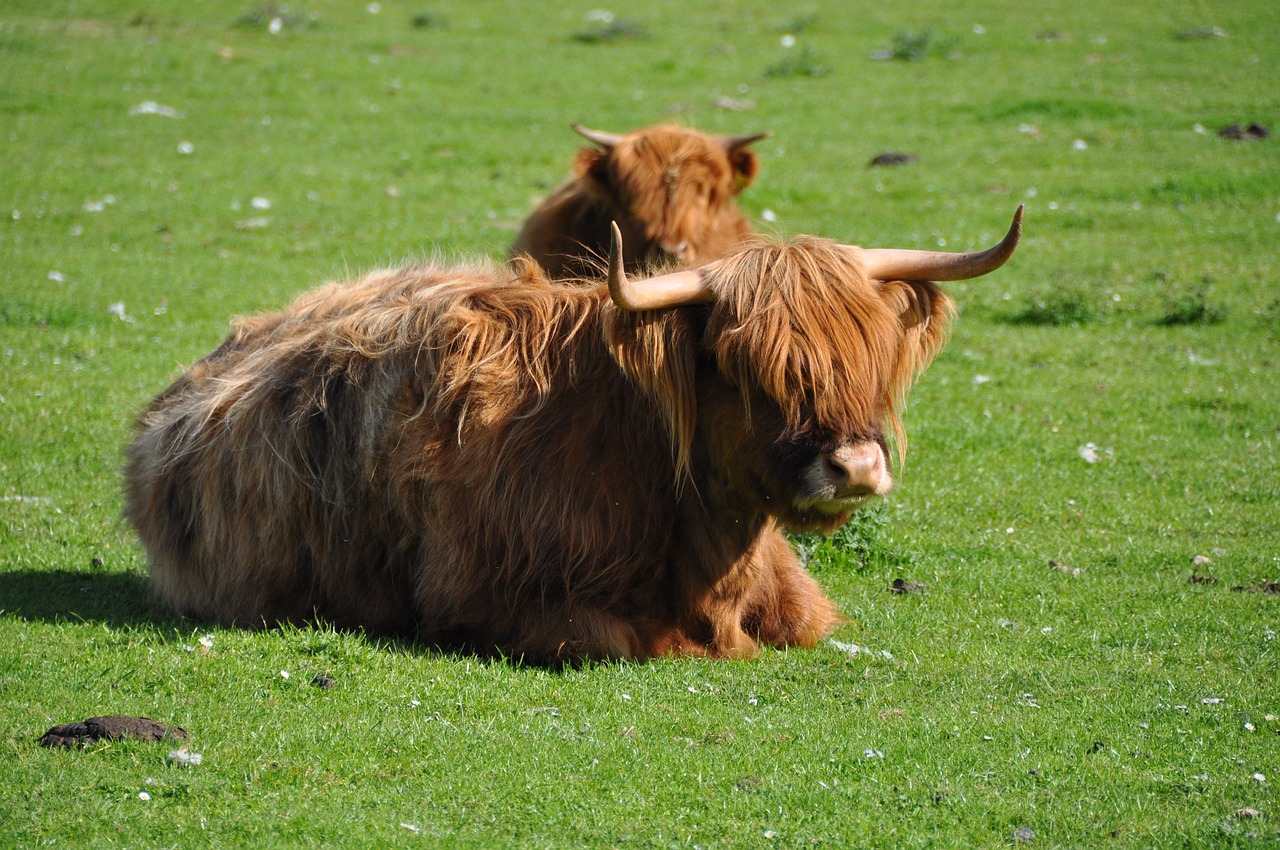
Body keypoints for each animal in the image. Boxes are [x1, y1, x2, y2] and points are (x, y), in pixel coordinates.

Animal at [124, 206, 1024, 665]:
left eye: (873, 354)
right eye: (741, 365)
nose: (856, 465)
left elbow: (808, 621)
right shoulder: (483, 598)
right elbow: (619, 639)